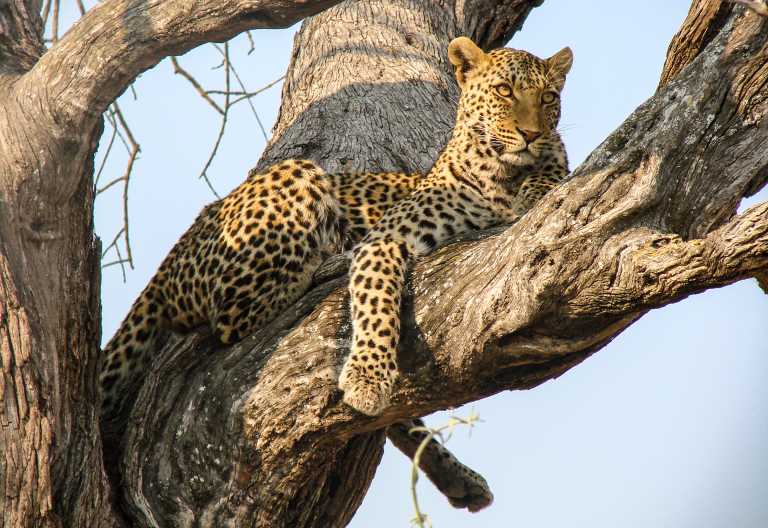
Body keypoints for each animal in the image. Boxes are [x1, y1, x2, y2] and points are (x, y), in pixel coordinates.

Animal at [338, 36, 573, 416]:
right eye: (504, 90)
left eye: (549, 97)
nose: (531, 133)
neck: (500, 177)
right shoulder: (385, 238)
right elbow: (376, 300)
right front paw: (367, 378)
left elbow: (553, 164)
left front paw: (535, 187)